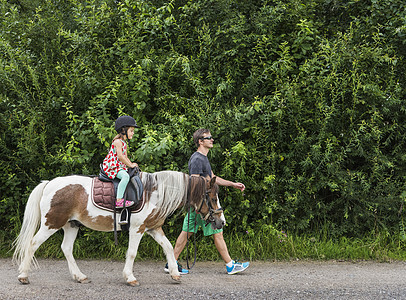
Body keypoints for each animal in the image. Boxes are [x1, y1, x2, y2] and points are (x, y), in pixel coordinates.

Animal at [12, 171, 224, 286]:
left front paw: (175, 273)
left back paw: (80, 276)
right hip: (51, 224)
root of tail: (49, 184)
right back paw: (23, 276)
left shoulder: (153, 228)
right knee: (32, 244)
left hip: (71, 225)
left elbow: (169, 247)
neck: (153, 193)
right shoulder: (137, 229)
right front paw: (130, 277)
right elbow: (132, 253)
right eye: (213, 198)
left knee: (66, 248)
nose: (221, 222)